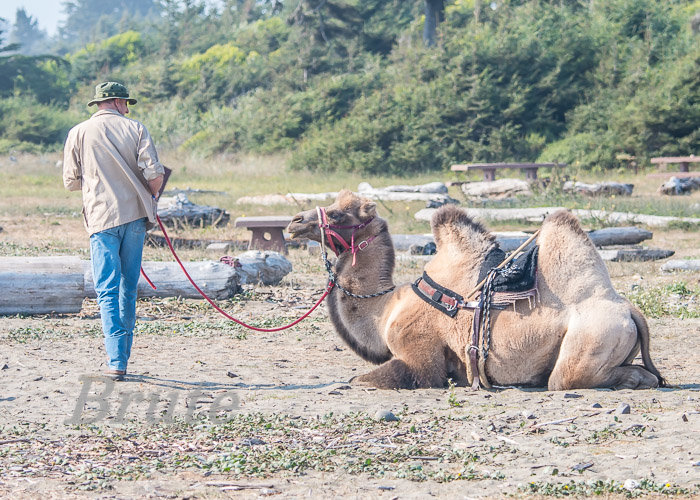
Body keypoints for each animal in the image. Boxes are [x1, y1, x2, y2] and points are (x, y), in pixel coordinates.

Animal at [287, 190, 665, 391]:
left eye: (338, 215)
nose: (293, 222)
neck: (385, 309)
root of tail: (631, 311)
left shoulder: (419, 354)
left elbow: (365, 379)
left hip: (590, 342)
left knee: (574, 378)